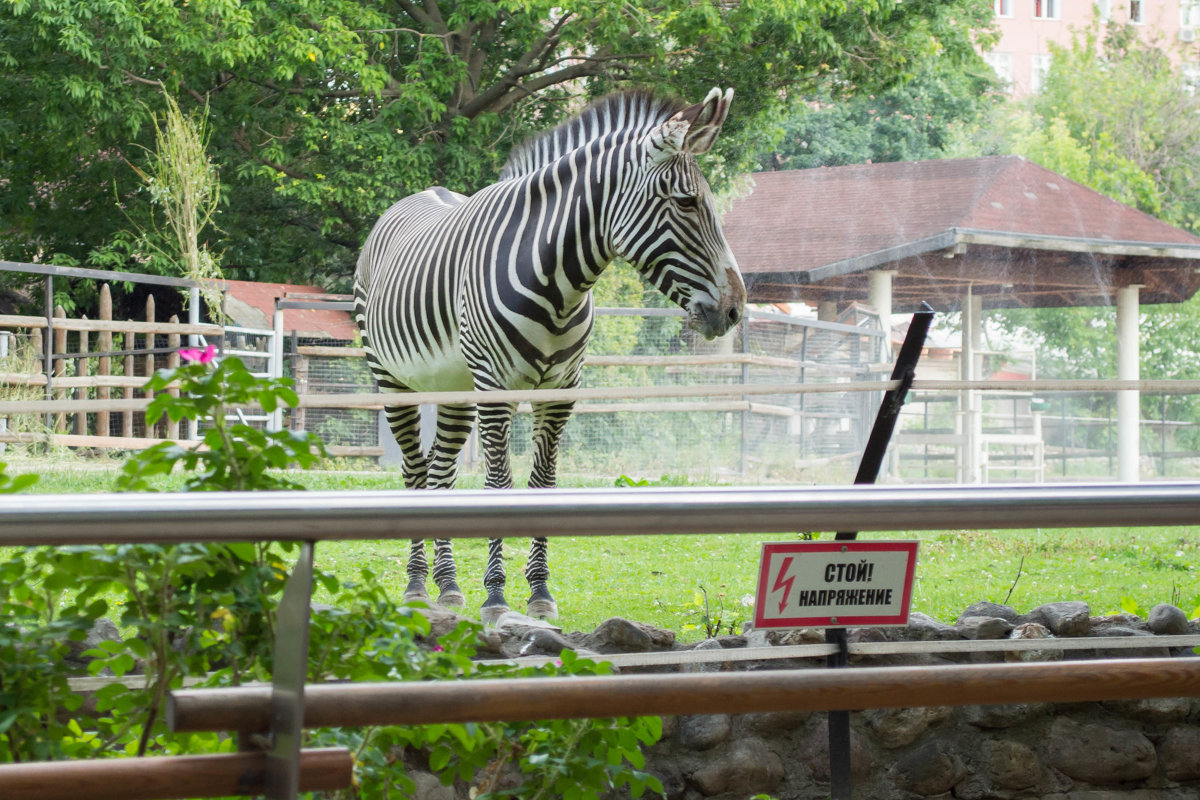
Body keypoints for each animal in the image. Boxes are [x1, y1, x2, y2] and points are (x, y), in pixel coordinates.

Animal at [350, 89, 744, 623]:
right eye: (686, 202)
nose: (735, 309)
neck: (560, 283)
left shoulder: (561, 392)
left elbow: (543, 484)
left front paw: (538, 592)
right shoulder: (495, 388)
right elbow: (499, 487)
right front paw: (496, 597)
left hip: (453, 385)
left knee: (440, 471)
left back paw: (448, 586)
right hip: (392, 380)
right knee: (414, 470)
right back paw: (415, 586)